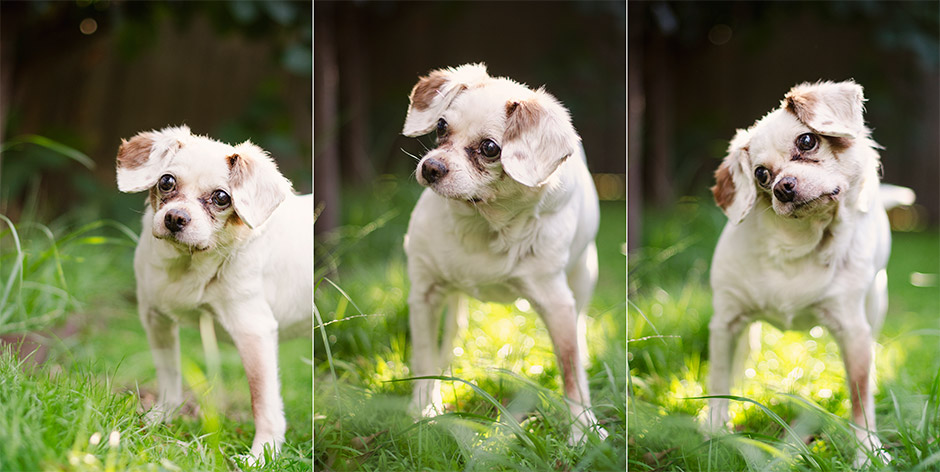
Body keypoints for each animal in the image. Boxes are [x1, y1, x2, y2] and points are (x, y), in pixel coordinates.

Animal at [114, 125, 312, 460]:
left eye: (221, 198)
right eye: (166, 181)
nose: (175, 218)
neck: (189, 265)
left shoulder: (254, 332)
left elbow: (263, 402)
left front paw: (261, 454)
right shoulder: (155, 319)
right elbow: (169, 376)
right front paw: (160, 419)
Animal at [398, 63, 604, 442]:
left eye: (491, 148)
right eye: (441, 126)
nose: (431, 167)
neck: (482, 225)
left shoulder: (557, 305)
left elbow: (570, 372)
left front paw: (584, 430)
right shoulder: (425, 293)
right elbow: (423, 357)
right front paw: (423, 408)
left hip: (583, 278)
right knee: (452, 330)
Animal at [708, 81, 916, 464]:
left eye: (807, 141)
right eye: (761, 174)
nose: (782, 187)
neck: (799, 246)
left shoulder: (854, 333)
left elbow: (860, 399)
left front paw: (868, 453)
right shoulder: (725, 322)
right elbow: (718, 381)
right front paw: (714, 434)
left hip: (874, 308)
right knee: (743, 352)